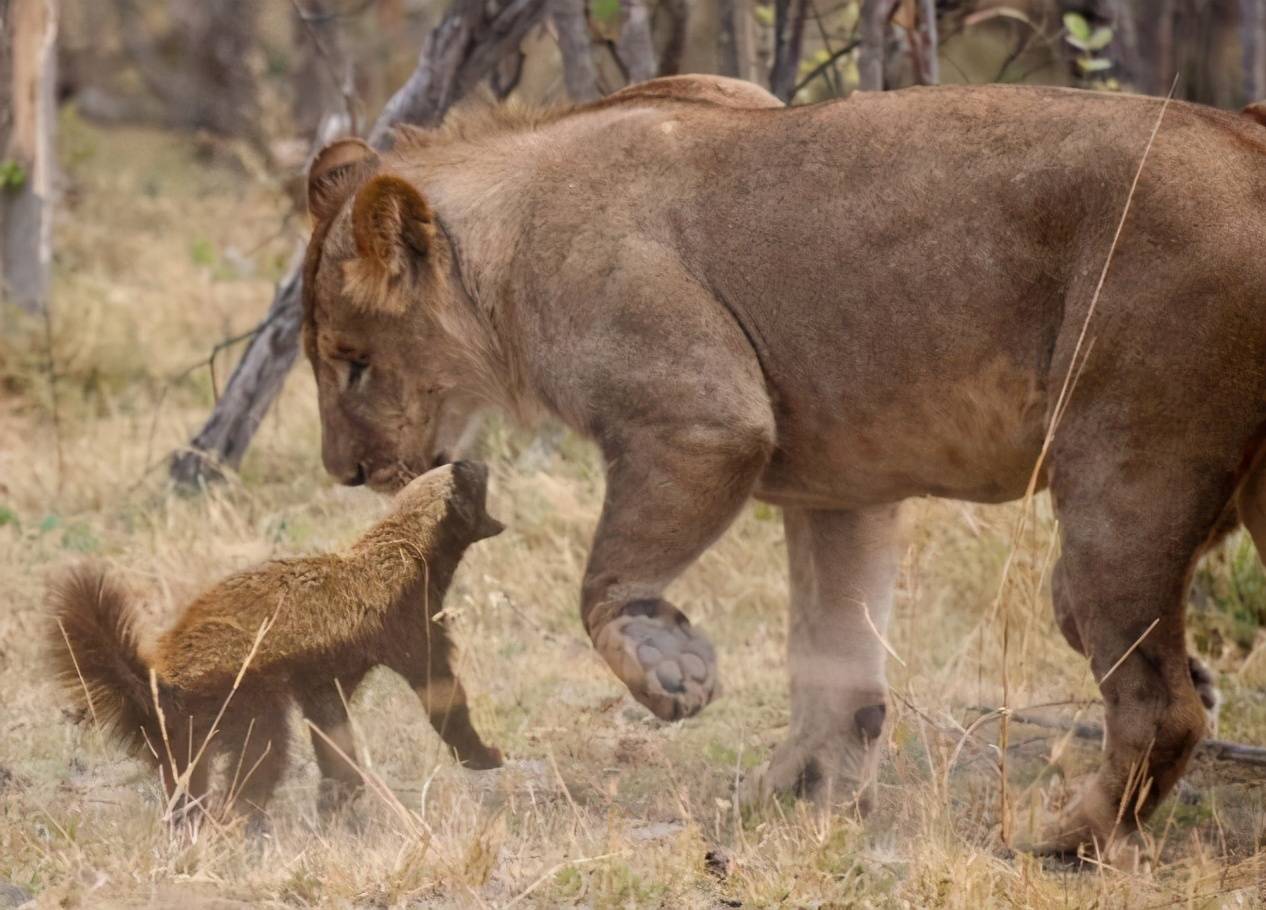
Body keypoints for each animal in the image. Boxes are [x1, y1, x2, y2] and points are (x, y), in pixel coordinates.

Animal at [49, 463, 503, 825]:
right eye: (471, 478)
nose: (481, 460)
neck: (403, 546)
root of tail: (159, 681)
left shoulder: (324, 675)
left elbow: (332, 730)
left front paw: (339, 794)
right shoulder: (408, 621)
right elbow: (440, 691)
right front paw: (484, 756)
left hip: (182, 736)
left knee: (185, 782)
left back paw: (190, 824)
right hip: (244, 701)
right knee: (260, 758)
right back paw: (239, 822)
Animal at [298, 76, 1266, 855]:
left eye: (353, 362)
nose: (344, 472)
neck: (505, 251)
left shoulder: (703, 417)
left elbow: (604, 582)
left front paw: (670, 669)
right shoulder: (843, 486)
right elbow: (834, 666)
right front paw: (791, 800)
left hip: (1123, 470)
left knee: (1155, 704)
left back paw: (1061, 839)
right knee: (1121, 652)